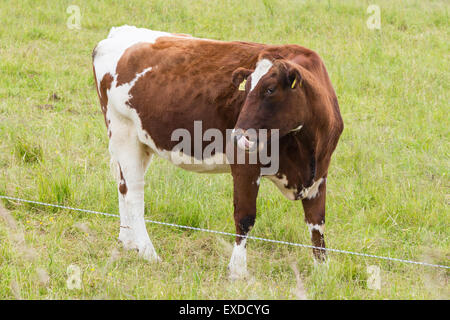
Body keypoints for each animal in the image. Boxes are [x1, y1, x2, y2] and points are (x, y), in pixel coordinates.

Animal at [93, 26, 342, 278]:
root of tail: (119, 33)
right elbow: (245, 217)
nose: (238, 136)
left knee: (123, 186)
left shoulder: (320, 173)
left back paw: (127, 242)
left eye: (270, 89)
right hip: (123, 131)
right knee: (134, 193)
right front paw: (238, 271)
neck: (307, 149)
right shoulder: (245, 165)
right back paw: (148, 253)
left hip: (140, 142)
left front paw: (322, 269)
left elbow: (317, 222)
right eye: (246, 89)